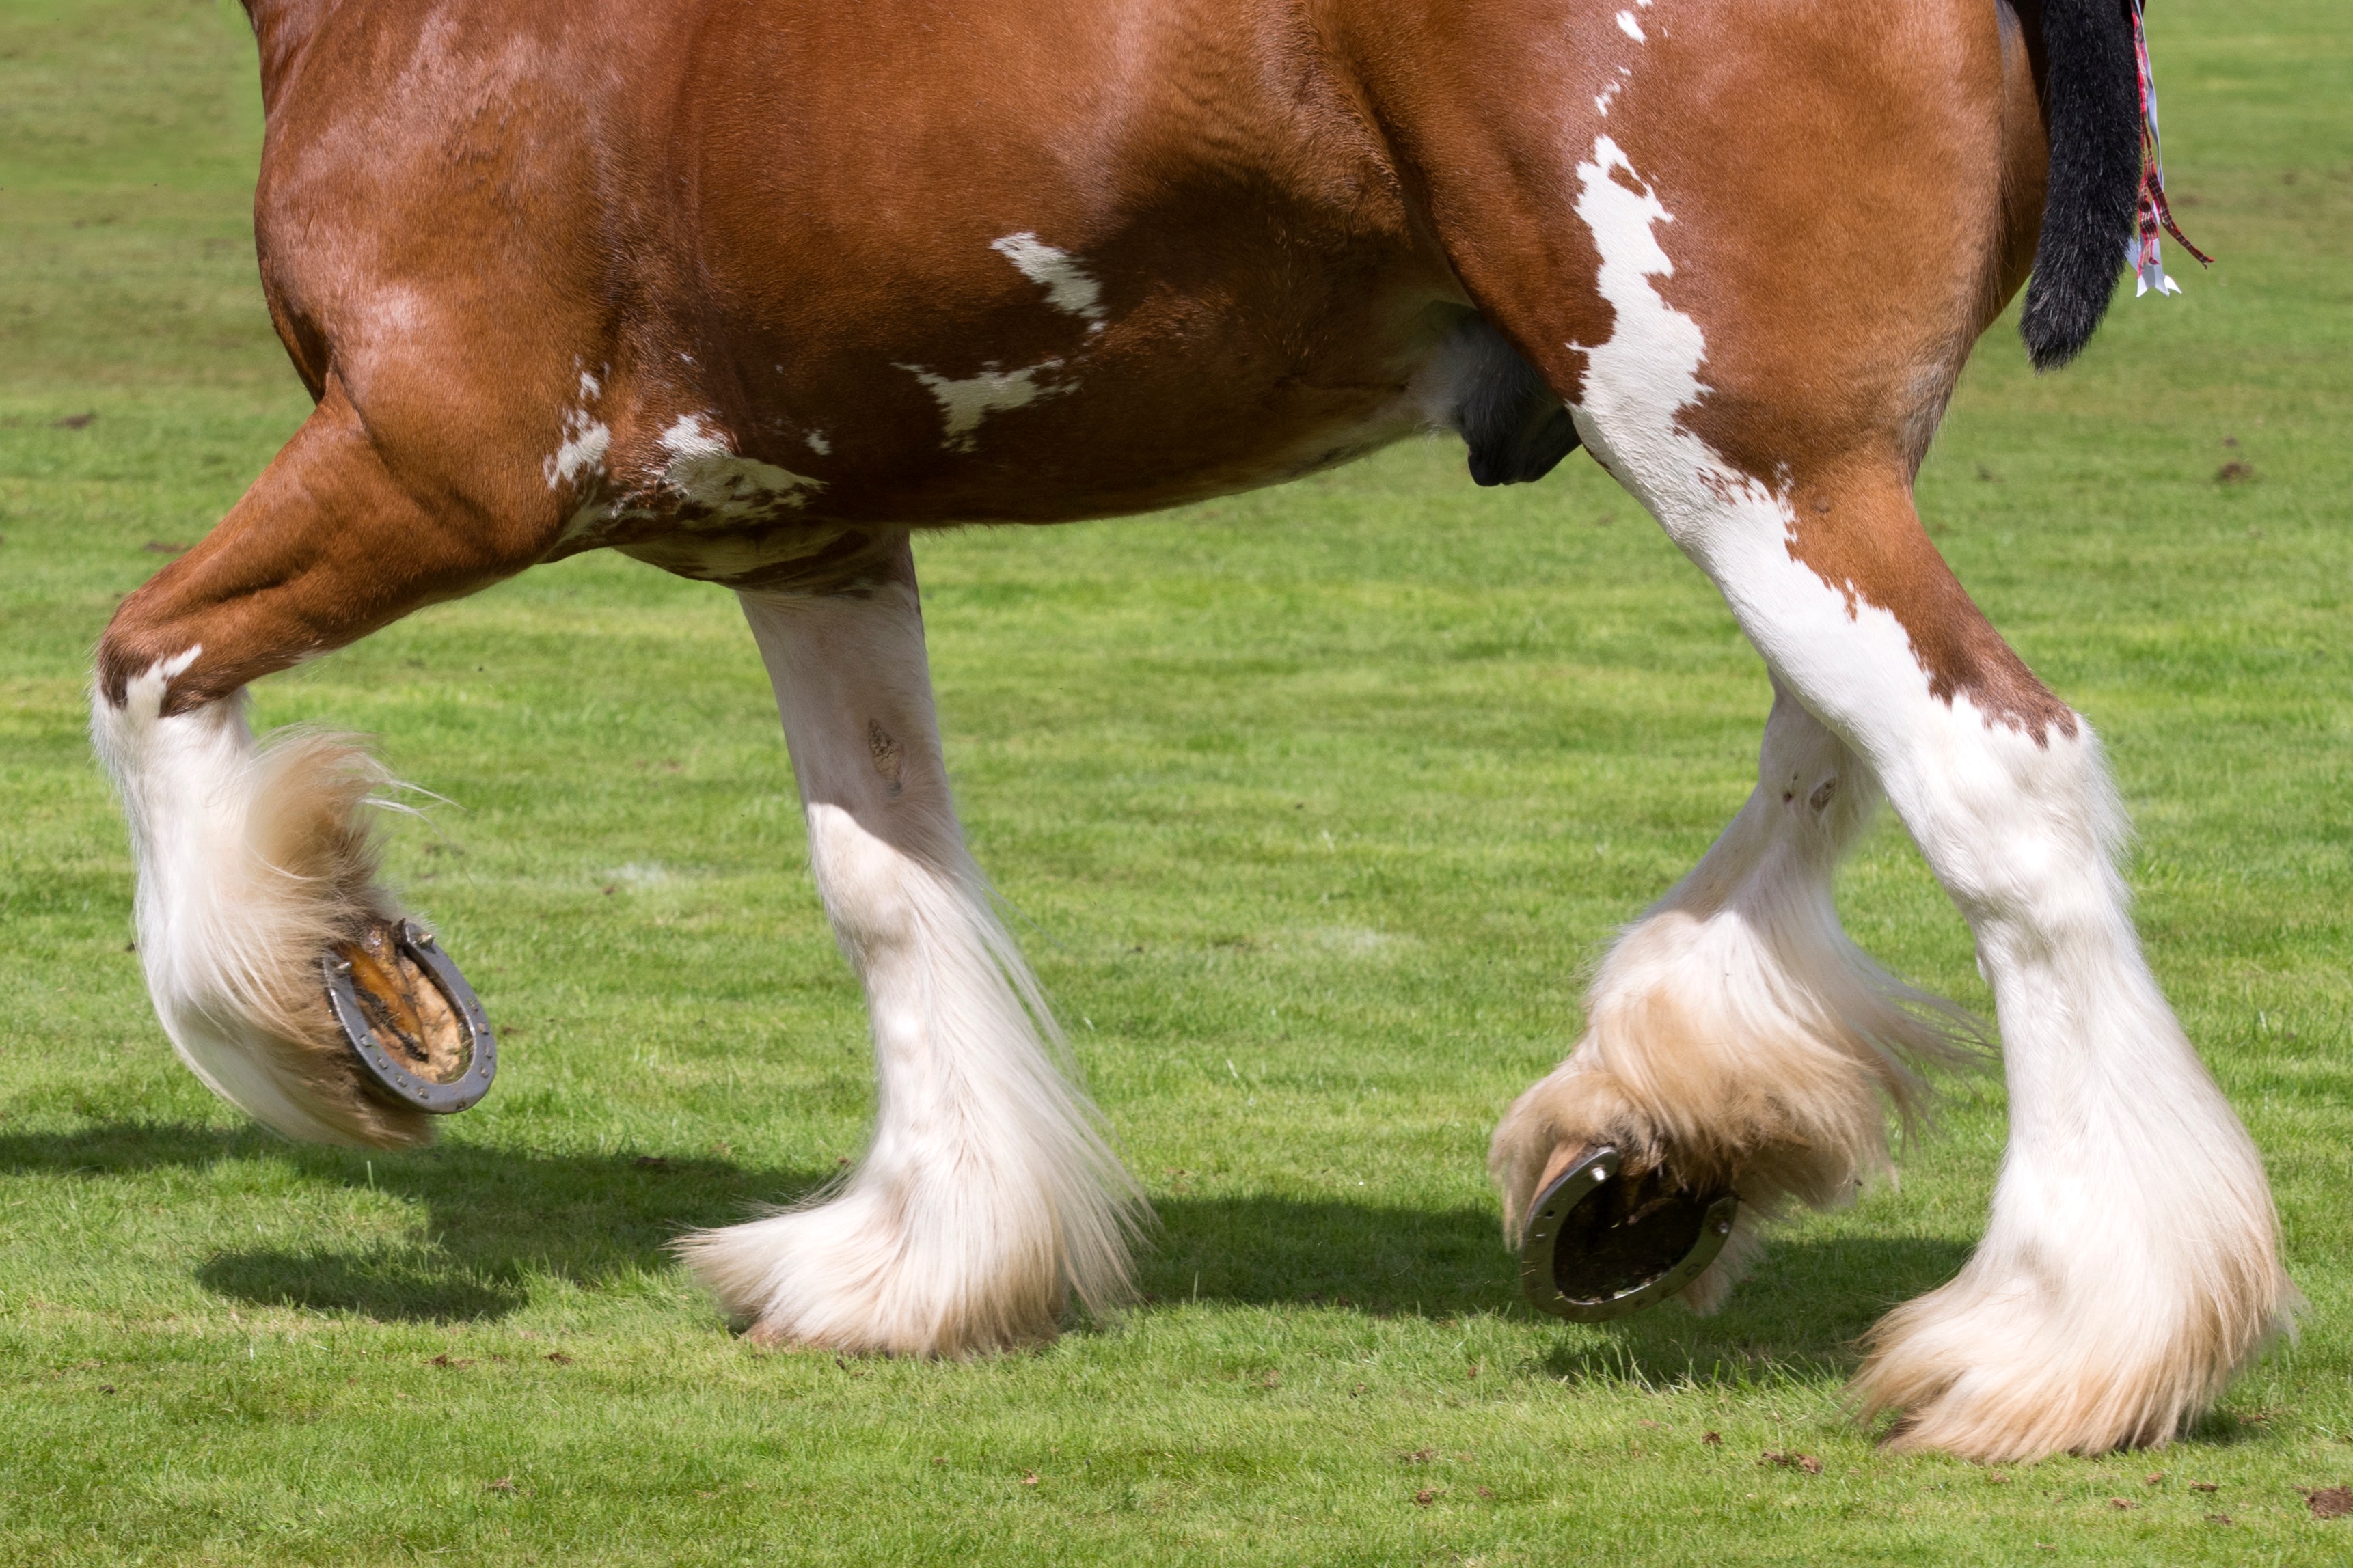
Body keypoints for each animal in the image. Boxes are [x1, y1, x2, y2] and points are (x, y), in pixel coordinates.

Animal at [96, 0, 2296, 1457]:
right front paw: (916, 1260)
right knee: (1836, 760)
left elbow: (144, 678)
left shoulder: (436, 463)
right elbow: (884, 884)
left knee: (1994, 785)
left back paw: (2061, 1339)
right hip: (1776, 460)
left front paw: (337, 1011)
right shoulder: (809, 531)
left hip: (1744, 451)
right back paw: (1658, 1134)